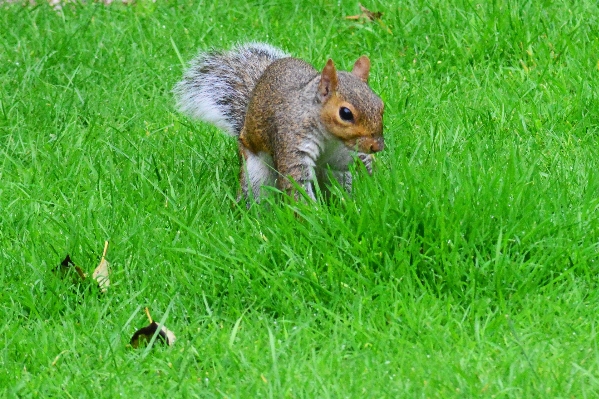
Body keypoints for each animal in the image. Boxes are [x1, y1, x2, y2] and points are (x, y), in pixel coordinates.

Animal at [173, 43, 384, 203]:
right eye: (345, 113)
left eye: (381, 105)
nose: (377, 146)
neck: (331, 139)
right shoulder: (291, 140)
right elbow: (296, 182)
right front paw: (316, 218)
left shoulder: (345, 155)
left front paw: (373, 192)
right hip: (255, 174)